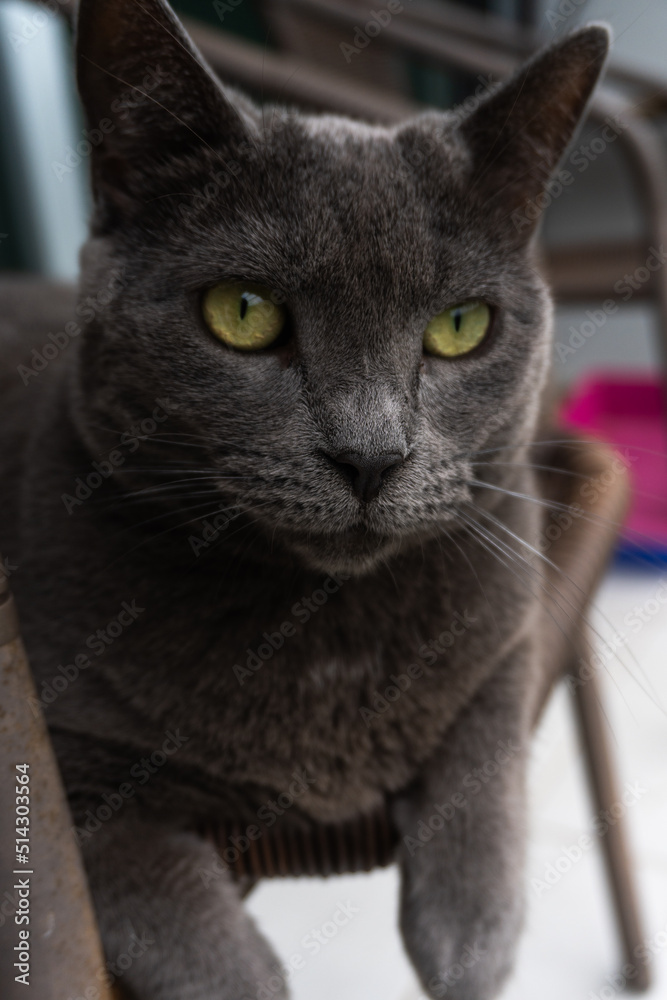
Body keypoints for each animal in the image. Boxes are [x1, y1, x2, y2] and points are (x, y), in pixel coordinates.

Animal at [0, 0, 612, 996]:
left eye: (460, 326)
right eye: (241, 312)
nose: (369, 455)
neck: (323, 628)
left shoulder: (509, 620)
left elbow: (483, 743)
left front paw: (469, 941)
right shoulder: (67, 762)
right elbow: (185, 931)